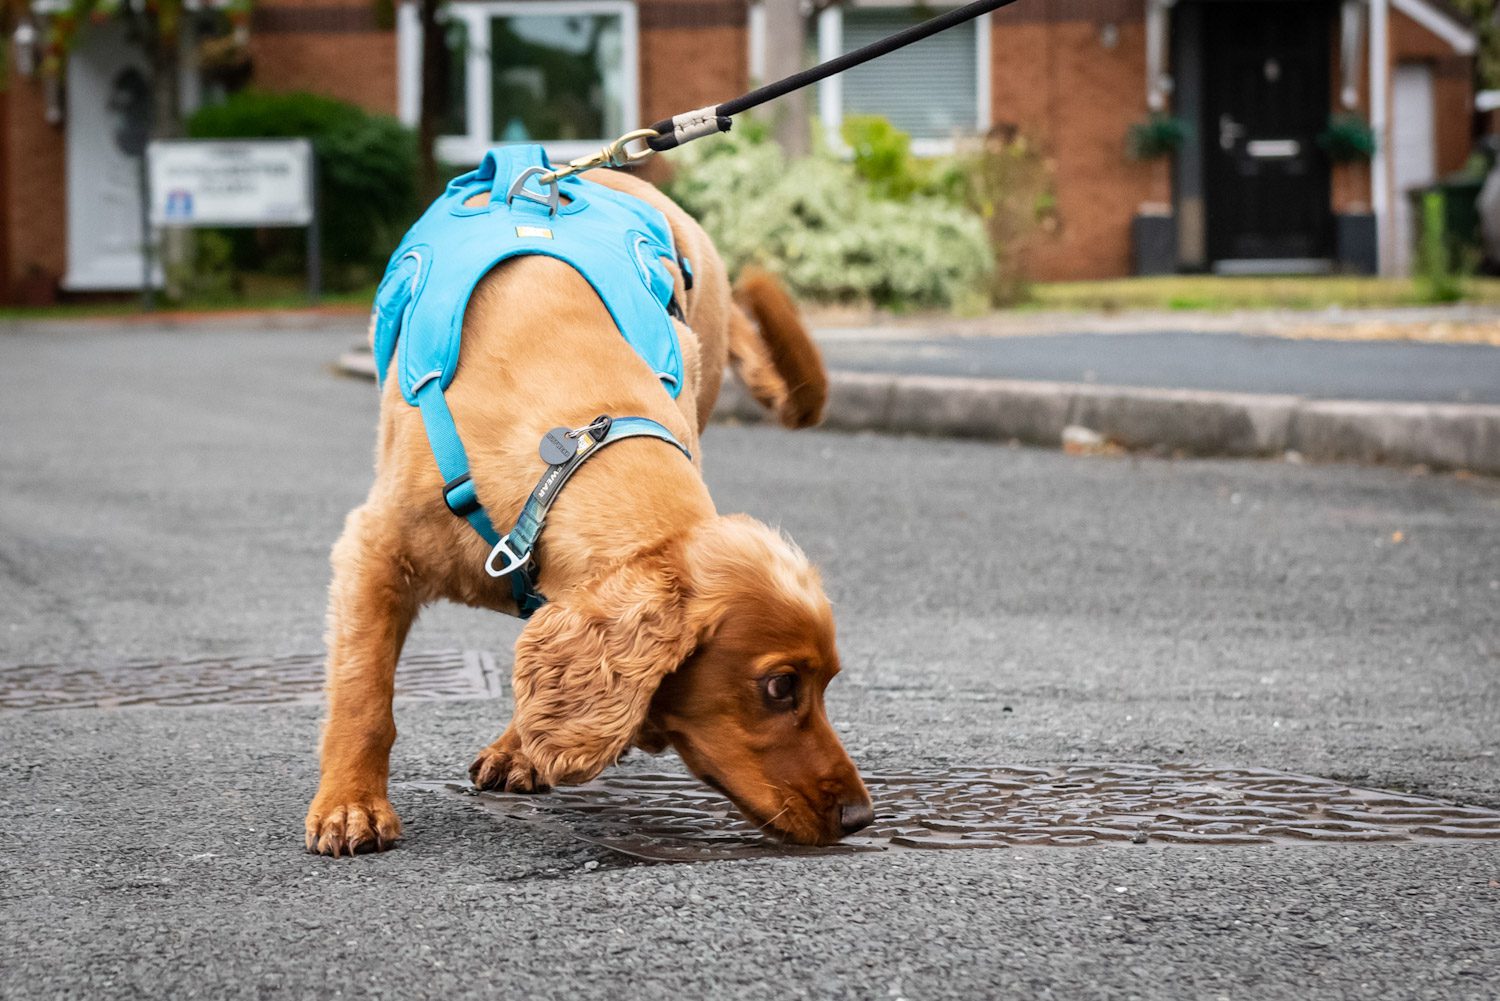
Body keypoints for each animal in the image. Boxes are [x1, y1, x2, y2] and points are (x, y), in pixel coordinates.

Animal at [303, 162, 876, 852]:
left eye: (827, 683)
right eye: (781, 685)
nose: (861, 818)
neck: (569, 448)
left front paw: (526, 749)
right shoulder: (373, 551)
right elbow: (364, 694)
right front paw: (350, 805)